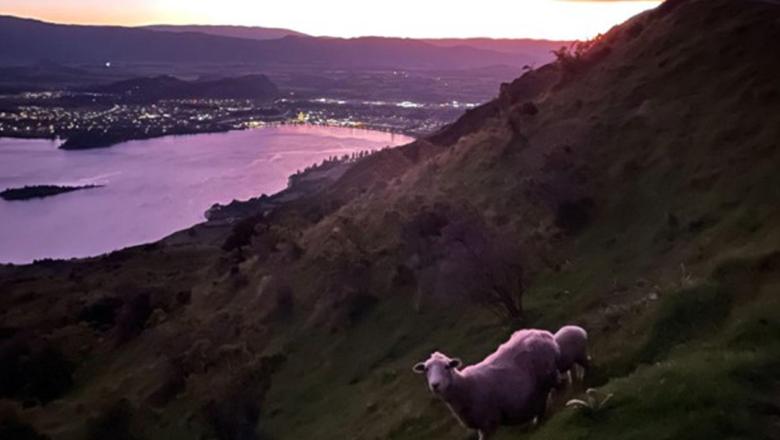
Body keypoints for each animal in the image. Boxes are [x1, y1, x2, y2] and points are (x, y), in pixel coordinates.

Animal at [414, 328, 560, 438]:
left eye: (446, 367)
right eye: (426, 369)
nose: (435, 385)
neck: (465, 386)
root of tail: (543, 333)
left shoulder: (488, 422)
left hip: (550, 375)